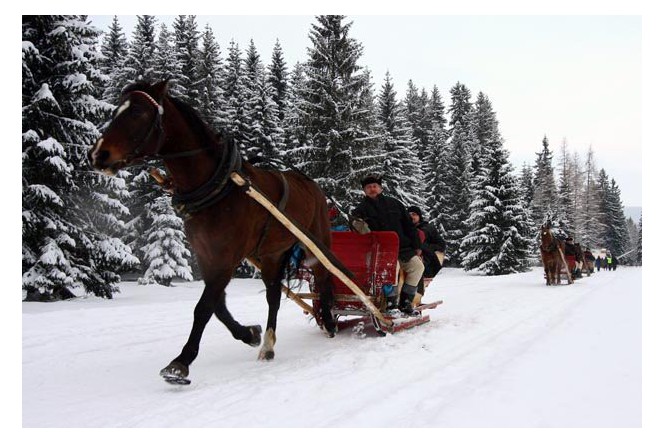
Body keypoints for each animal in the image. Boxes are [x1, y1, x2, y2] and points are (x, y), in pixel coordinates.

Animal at [87, 80, 341, 384]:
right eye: (117, 110)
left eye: (138, 112)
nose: (97, 154)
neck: (218, 186)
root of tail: (312, 184)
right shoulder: (207, 255)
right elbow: (217, 305)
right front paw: (249, 333)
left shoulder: (227, 258)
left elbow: (204, 307)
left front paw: (180, 362)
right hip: (272, 253)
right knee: (273, 296)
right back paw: (268, 345)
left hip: (316, 240)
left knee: (324, 277)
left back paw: (328, 322)